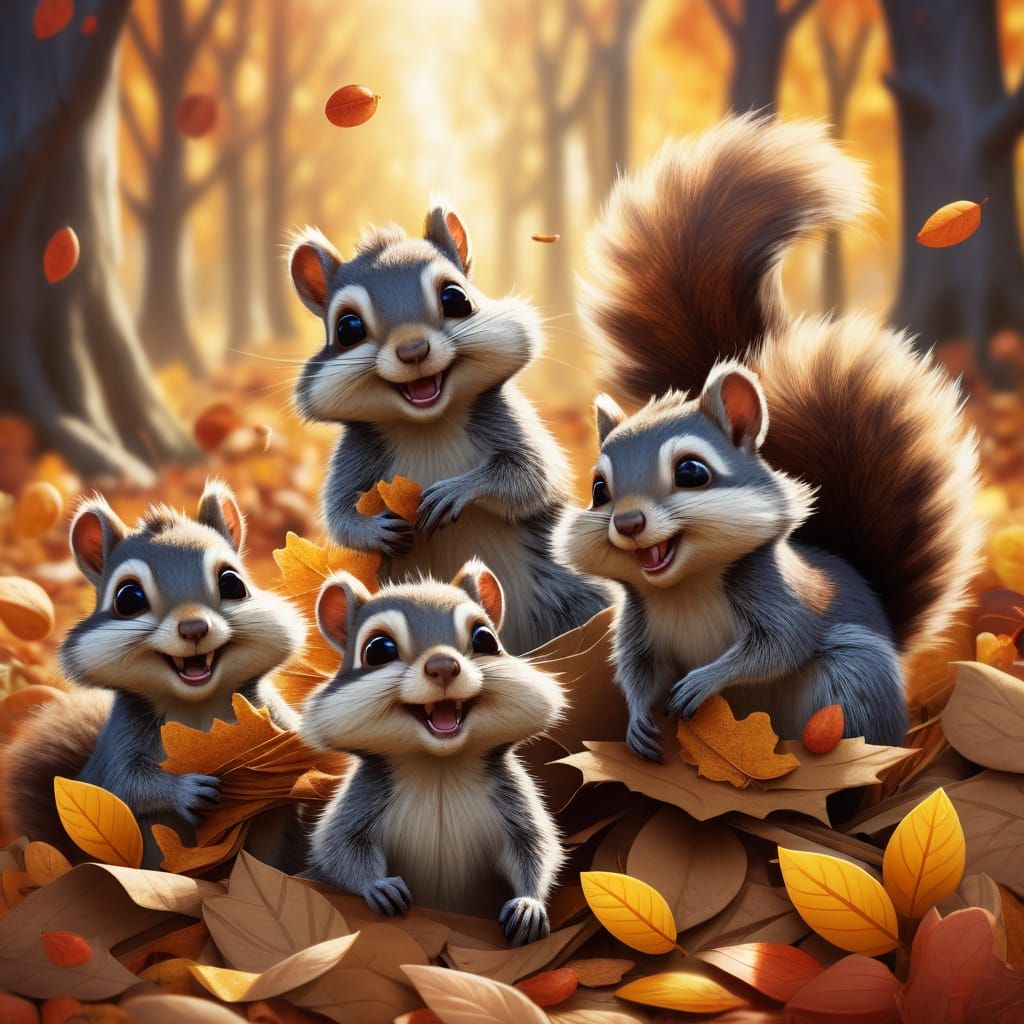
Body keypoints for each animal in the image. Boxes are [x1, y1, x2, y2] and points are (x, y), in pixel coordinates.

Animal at [5, 480, 306, 867]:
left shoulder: (272, 711)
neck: (198, 707)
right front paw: (185, 790)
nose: (194, 628)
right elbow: (126, 784)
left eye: (233, 584)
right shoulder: (119, 746)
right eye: (128, 598)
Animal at [287, 205, 609, 655]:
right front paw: (372, 529)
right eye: (348, 328)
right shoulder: (354, 454)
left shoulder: (511, 424)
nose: (412, 350)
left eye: (456, 298)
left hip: (568, 589)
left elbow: (531, 478)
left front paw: (458, 490)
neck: (428, 424)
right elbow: (338, 514)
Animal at [299, 560, 565, 946]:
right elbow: (339, 848)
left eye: (485, 639)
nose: (442, 666)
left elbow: (536, 847)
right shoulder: (363, 799)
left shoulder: (514, 799)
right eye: (378, 650)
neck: (439, 766)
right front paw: (379, 886)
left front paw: (528, 904)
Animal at [555, 115, 981, 759]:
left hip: (849, 680)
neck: (684, 587)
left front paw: (704, 679)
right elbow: (632, 670)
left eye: (692, 471)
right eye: (598, 489)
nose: (627, 524)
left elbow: (777, 646)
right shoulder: (638, 626)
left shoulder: (784, 602)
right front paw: (637, 721)